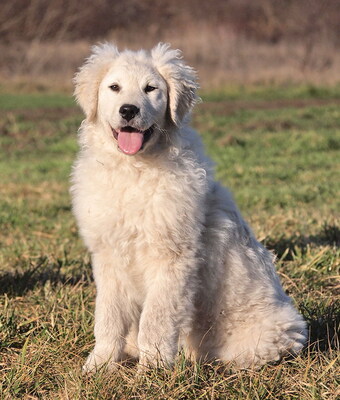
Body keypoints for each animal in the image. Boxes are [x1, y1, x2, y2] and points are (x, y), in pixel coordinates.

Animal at [70, 43, 306, 372]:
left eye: (151, 88)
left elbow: (155, 320)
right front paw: (99, 365)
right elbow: (108, 316)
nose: (128, 110)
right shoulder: (109, 255)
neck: (134, 170)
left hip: (268, 331)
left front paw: (152, 369)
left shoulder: (172, 257)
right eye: (114, 87)